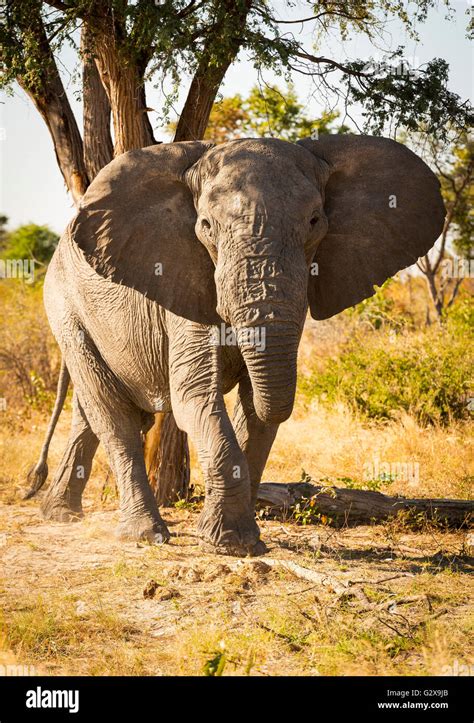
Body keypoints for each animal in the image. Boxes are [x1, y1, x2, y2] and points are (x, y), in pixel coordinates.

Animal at [25, 134, 446, 556]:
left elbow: (257, 410)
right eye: (206, 226)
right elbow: (194, 396)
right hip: (65, 307)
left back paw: (59, 513)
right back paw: (143, 534)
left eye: (314, 221)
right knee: (114, 415)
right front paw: (230, 544)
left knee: (92, 412)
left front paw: (235, 540)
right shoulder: (187, 281)